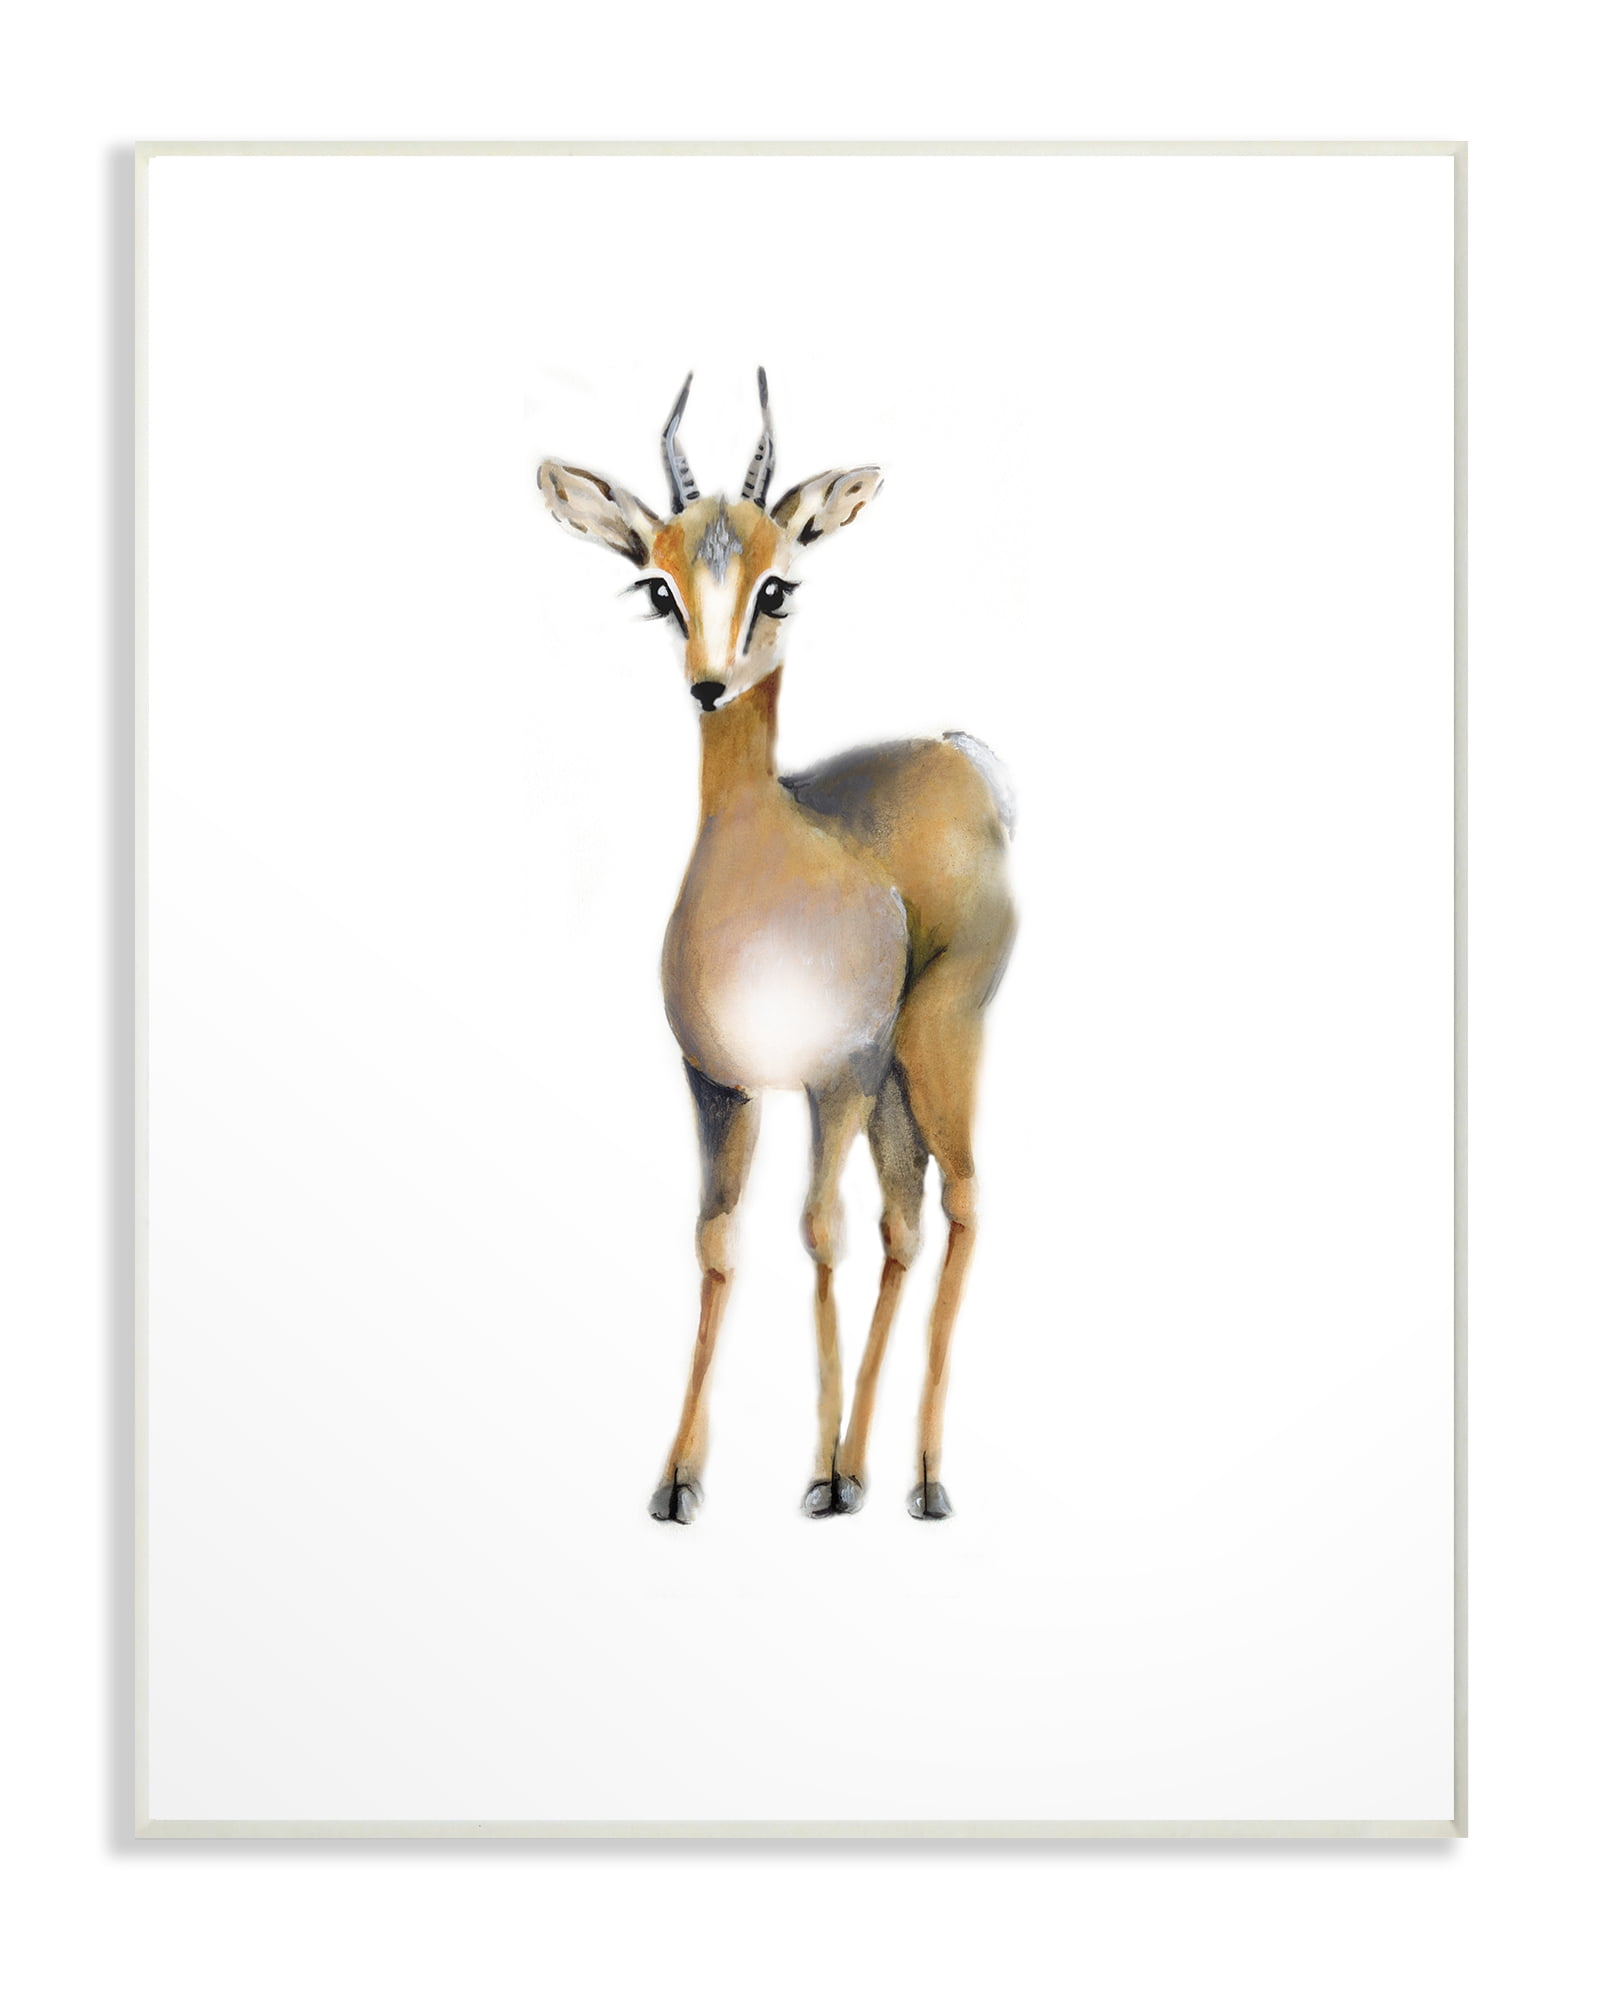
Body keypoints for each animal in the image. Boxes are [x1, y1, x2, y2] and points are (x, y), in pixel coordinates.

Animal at [538, 372, 1015, 1523]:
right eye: (658, 586)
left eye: (778, 586)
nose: (710, 684)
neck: (767, 865)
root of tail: (958, 752)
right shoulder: (720, 1082)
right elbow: (719, 1239)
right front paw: (679, 1480)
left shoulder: (831, 1077)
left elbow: (817, 1229)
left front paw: (824, 1471)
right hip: (893, 1085)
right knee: (906, 1223)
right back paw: (877, 1468)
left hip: (931, 1044)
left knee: (961, 1202)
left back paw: (918, 1478)